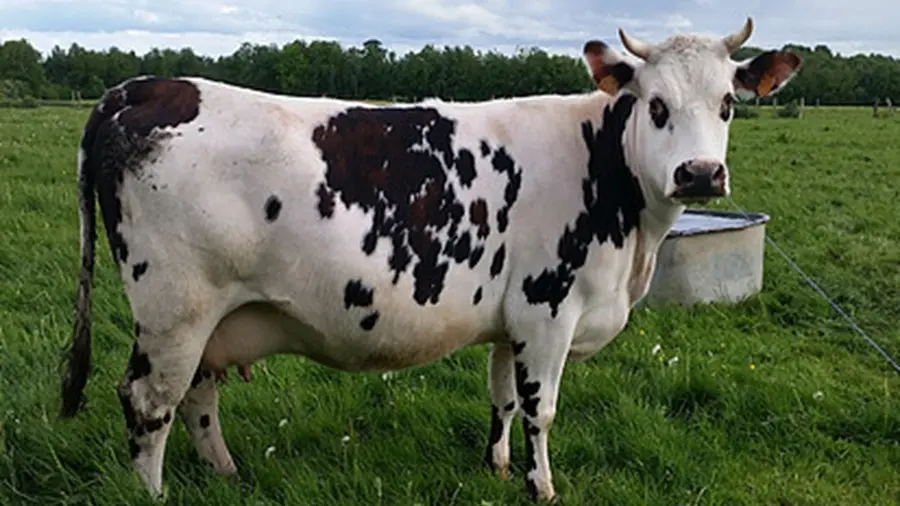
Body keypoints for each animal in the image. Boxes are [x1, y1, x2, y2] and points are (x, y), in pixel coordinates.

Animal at [58, 17, 801, 502]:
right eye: (656, 104)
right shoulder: (548, 309)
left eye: (728, 104)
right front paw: (541, 486)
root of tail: (134, 90)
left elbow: (503, 398)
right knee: (149, 401)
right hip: (175, 309)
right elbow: (542, 409)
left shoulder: (512, 318)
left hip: (211, 318)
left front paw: (495, 465)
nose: (700, 174)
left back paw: (228, 474)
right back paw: (153, 494)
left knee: (196, 396)